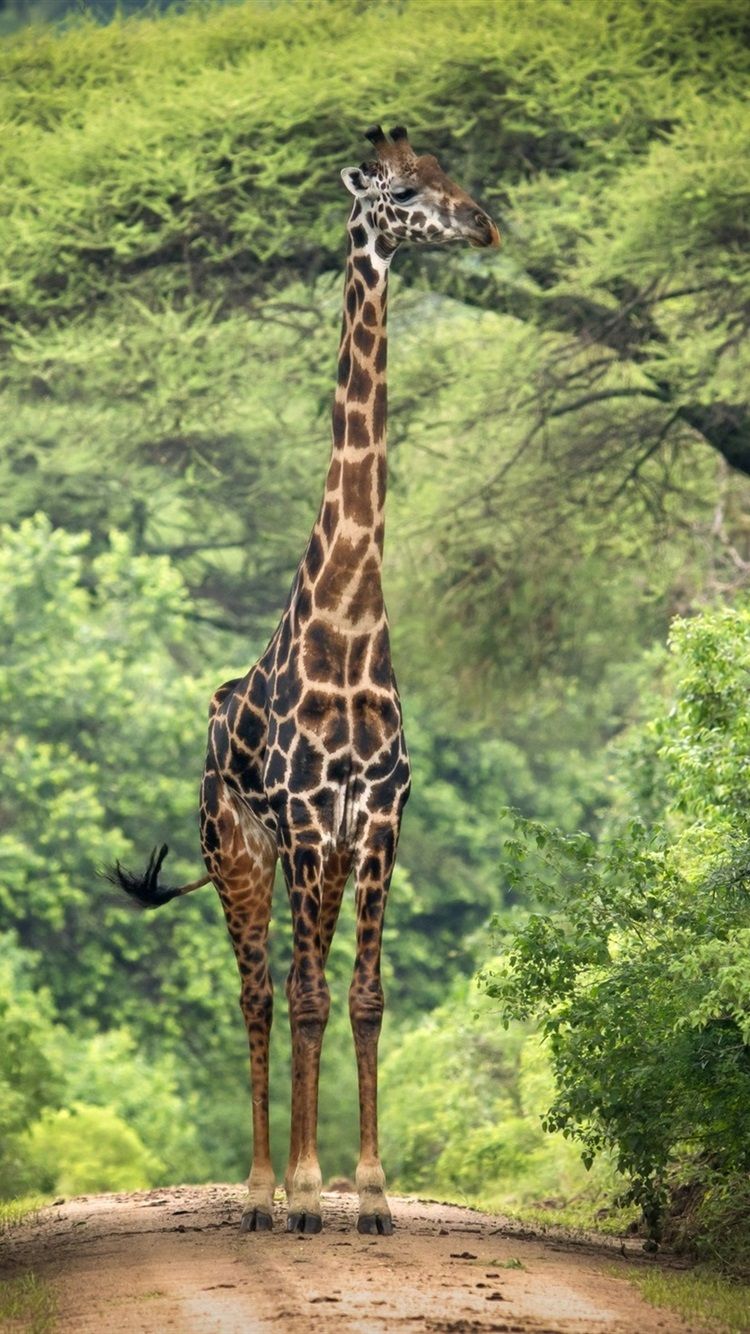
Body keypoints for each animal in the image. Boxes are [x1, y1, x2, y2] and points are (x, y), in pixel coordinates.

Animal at [108, 124, 499, 1236]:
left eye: (449, 171)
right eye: (403, 192)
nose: (483, 225)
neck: (352, 629)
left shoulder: (378, 818)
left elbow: (362, 997)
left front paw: (368, 1192)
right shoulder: (310, 822)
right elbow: (309, 995)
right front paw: (315, 1189)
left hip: (300, 856)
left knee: (294, 984)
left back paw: (292, 1185)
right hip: (239, 850)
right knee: (259, 989)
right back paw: (260, 1191)